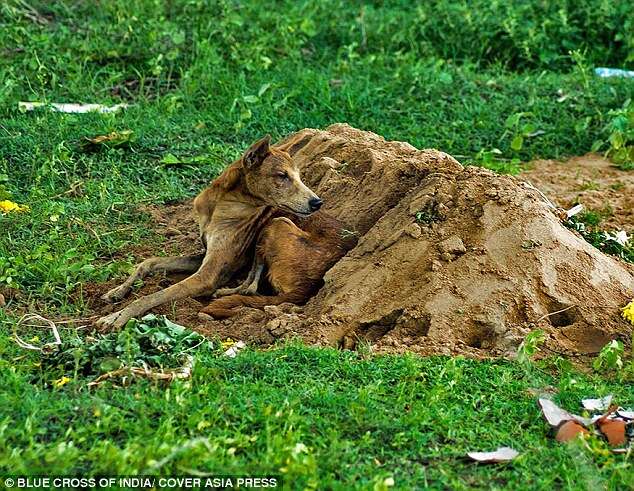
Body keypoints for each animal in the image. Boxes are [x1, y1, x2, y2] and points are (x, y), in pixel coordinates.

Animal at [97, 134, 358, 330]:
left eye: (299, 177)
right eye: (282, 176)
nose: (317, 203)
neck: (222, 203)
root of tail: (309, 288)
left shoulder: (208, 276)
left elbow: (150, 297)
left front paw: (116, 317)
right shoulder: (203, 256)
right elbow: (148, 262)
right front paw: (117, 291)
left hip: (277, 223)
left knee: (250, 287)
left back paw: (222, 293)